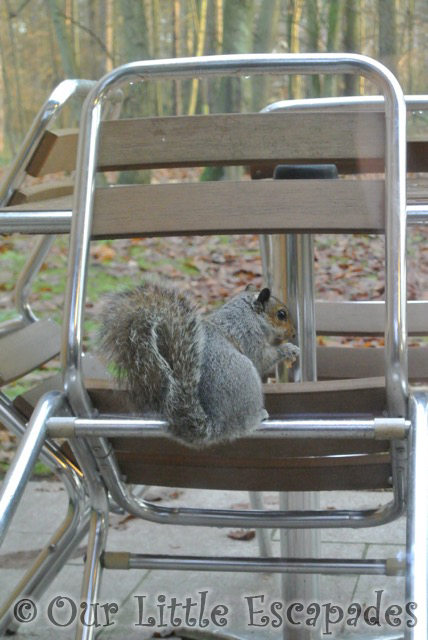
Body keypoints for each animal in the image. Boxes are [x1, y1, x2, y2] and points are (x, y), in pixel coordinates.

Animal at [98, 282, 298, 448]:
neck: (247, 313)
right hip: (245, 378)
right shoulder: (248, 336)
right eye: (281, 314)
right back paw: (257, 417)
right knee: (243, 425)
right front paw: (288, 349)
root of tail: (215, 426)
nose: (293, 334)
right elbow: (262, 359)